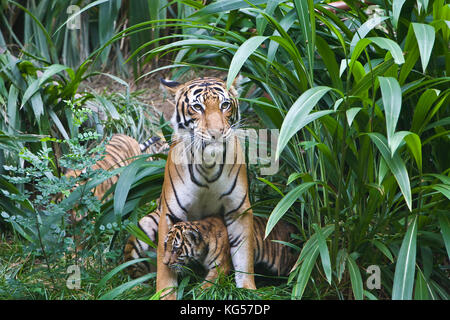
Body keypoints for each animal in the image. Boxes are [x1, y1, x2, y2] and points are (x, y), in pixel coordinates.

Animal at [153, 76, 255, 298]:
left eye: (225, 105)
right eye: (197, 107)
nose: (217, 133)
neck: (208, 163)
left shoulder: (239, 211)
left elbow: (245, 257)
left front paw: (249, 290)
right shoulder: (170, 212)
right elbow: (164, 268)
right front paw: (165, 294)